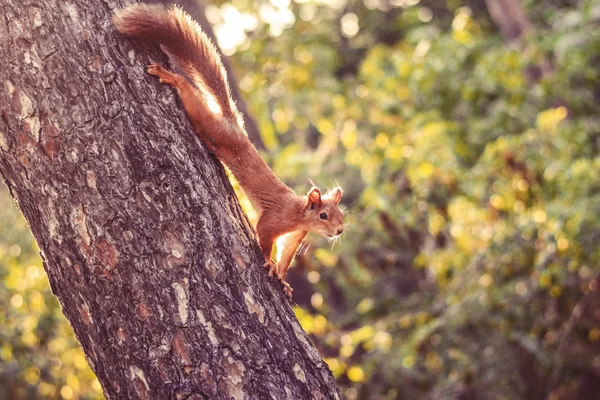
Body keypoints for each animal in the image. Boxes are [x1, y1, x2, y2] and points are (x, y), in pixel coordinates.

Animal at [114, 3, 344, 296]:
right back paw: (172, 78)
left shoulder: (295, 236)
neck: (300, 215)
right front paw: (269, 264)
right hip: (214, 129)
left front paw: (282, 279)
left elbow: (286, 254)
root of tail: (233, 124)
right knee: (194, 100)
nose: (339, 230)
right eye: (324, 215)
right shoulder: (274, 219)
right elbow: (265, 237)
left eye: (340, 214)